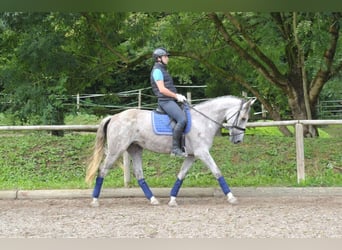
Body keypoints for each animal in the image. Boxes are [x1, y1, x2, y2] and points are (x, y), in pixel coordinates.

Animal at [85, 94, 256, 206]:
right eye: (243, 118)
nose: (238, 140)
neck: (203, 120)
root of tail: (114, 117)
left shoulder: (192, 156)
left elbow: (181, 175)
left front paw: (173, 199)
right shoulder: (202, 153)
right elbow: (217, 172)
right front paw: (231, 197)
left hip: (135, 149)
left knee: (139, 174)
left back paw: (153, 200)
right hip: (116, 150)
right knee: (102, 170)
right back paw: (94, 200)